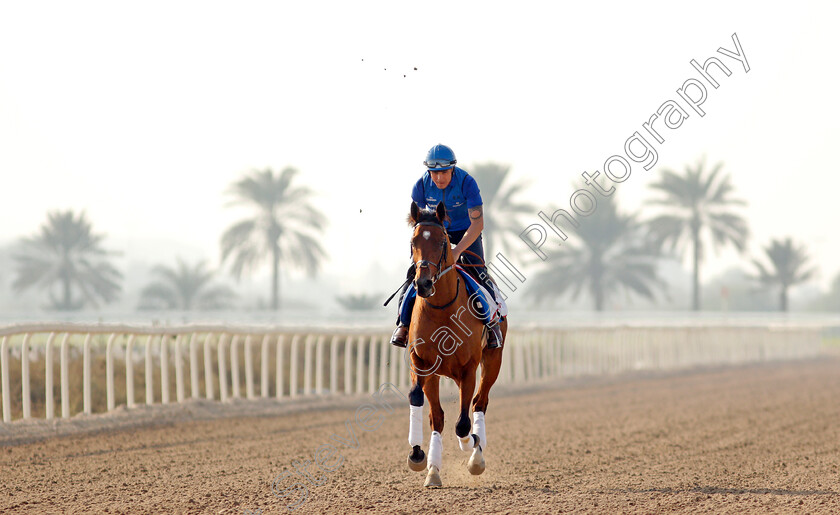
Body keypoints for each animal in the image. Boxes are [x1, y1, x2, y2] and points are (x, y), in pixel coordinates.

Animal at [400, 201, 506, 488]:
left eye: (442, 241)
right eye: (413, 241)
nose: (423, 283)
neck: (441, 309)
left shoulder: (469, 368)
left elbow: (463, 424)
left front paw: (473, 445)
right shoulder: (420, 362)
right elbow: (419, 400)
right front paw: (418, 455)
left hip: (493, 360)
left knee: (479, 402)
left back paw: (477, 455)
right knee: (438, 417)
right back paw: (433, 470)